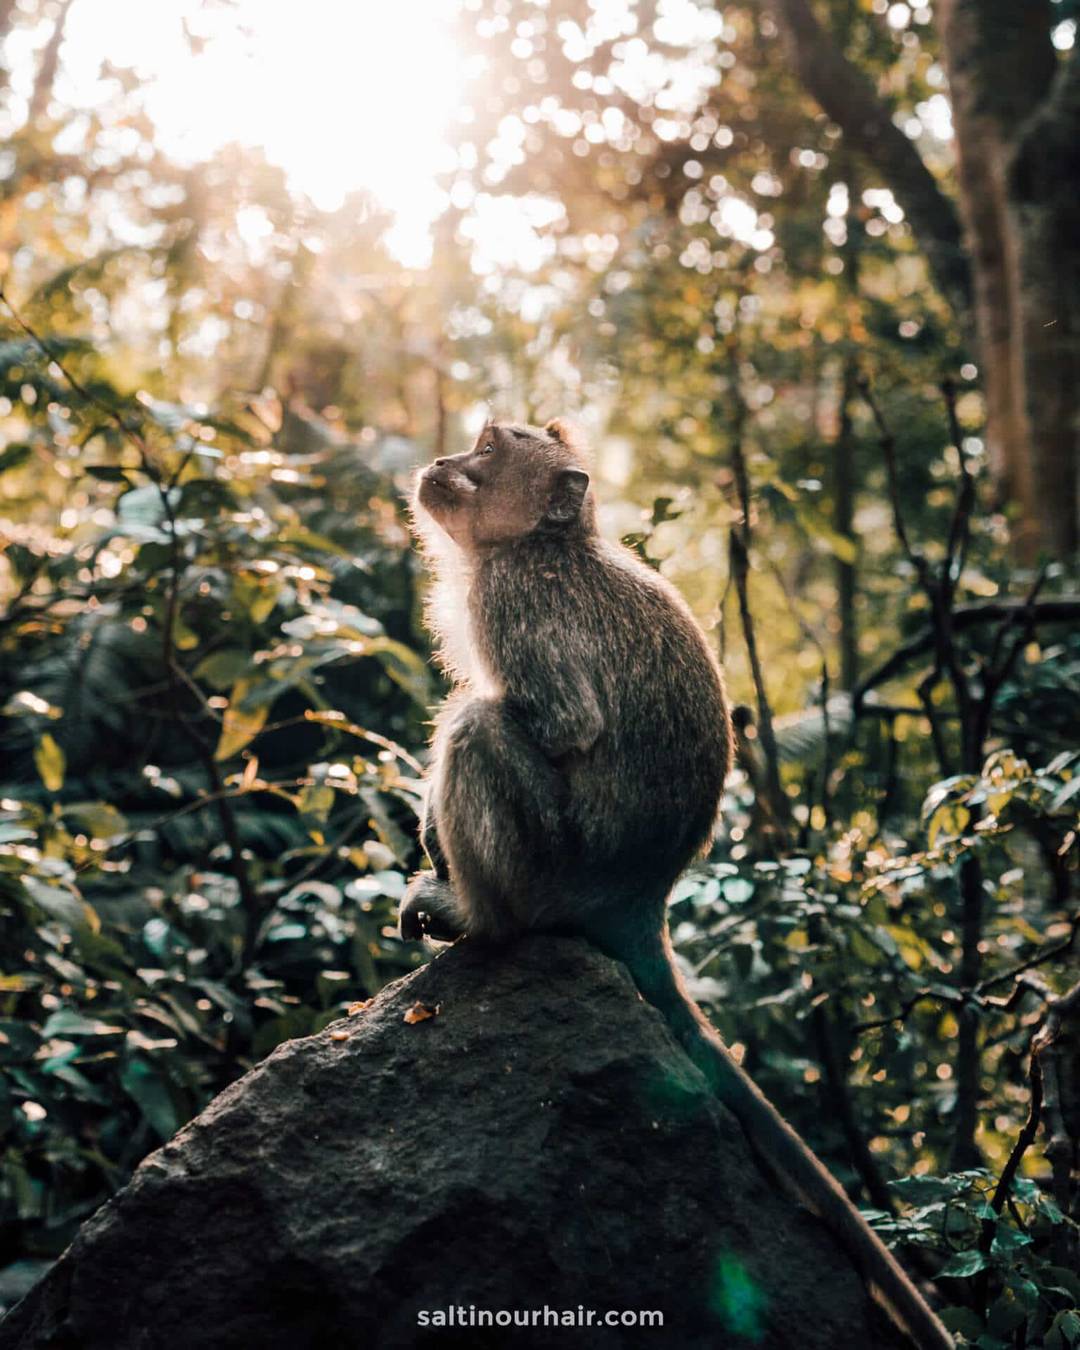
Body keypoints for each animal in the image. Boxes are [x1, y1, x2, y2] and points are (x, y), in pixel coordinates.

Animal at [399, 419, 951, 1350]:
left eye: (488, 448)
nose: (441, 461)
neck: (544, 544)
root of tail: (640, 903)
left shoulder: (515, 600)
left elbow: (556, 724)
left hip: (551, 868)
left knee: (479, 728)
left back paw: (480, 918)